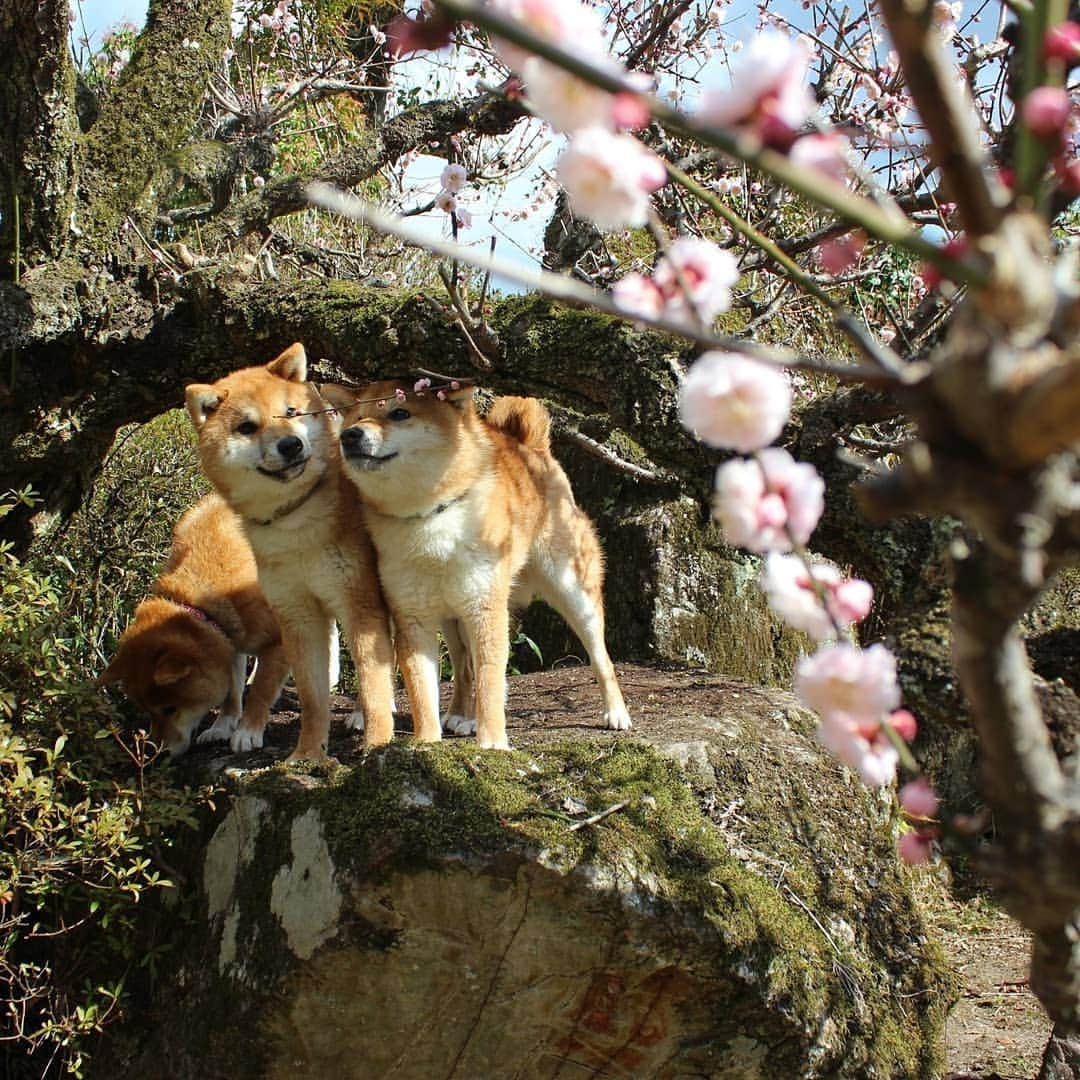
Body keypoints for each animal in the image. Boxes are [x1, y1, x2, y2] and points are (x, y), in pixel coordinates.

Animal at [98, 494, 287, 756]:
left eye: (170, 708)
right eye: (147, 710)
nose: (159, 753)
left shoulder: (276, 640)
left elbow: (261, 691)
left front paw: (247, 732)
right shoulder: (229, 640)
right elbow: (232, 692)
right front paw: (222, 726)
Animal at [184, 343, 397, 760]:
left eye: (292, 412)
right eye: (247, 427)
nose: (291, 444)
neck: (297, 523)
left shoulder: (359, 602)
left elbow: (372, 682)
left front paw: (378, 744)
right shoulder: (297, 614)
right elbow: (313, 698)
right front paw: (308, 754)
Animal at [332, 382, 630, 751]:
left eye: (400, 413)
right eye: (355, 418)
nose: (350, 435)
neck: (429, 519)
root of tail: (529, 446)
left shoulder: (484, 609)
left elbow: (489, 680)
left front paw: (492, 743)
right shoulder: (412, 617)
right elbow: (422, 691)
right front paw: (427, 742)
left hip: (573, 591)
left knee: (600, 656)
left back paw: (616, 712)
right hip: (452, 614)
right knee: (463, 666)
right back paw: (461, 714)